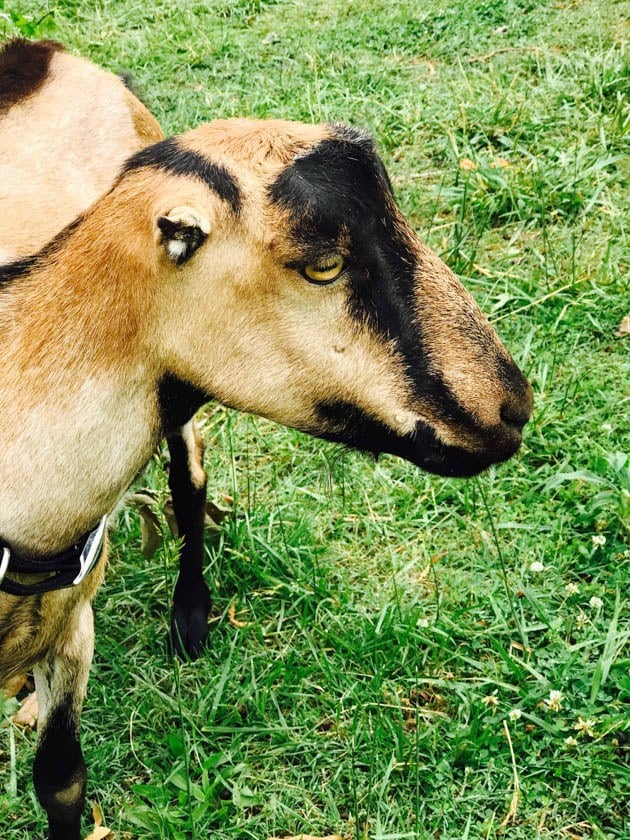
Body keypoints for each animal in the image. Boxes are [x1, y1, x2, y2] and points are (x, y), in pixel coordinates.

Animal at [1, 47, 532, 840]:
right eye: (321, 265)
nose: (512, 408)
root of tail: (39, 53)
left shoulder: (74, 629)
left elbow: (62, 783)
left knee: (190, 481)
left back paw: (190, 617)